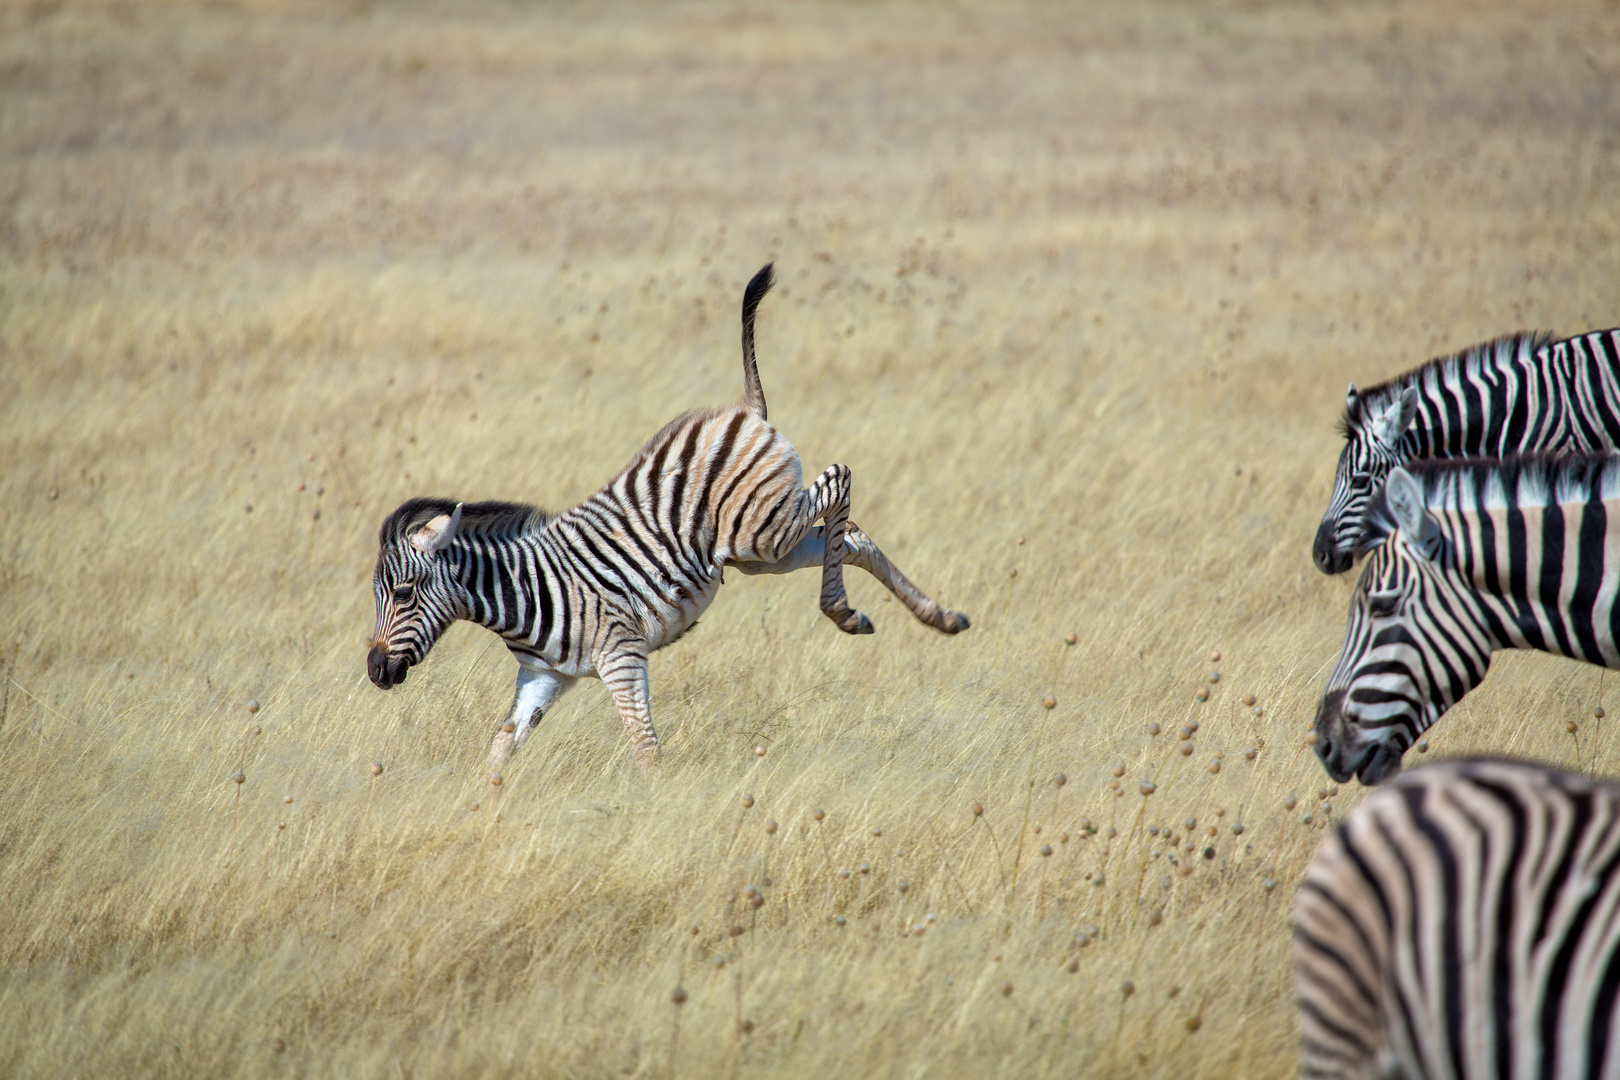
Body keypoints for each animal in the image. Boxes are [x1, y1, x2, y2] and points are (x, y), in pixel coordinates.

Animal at [367, 265, 965, 780]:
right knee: (853, 537)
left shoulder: (621, 656)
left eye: (403, 593)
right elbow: (501, 744)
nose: (374, 671)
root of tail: (744, 410)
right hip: (758, 552)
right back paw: (933, 617)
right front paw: (483, 807)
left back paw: (840, 610)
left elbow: (645, 749)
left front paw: (654, 808)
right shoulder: (543, 676)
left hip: (762, 530)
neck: (525, 593)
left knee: (840, 479)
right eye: (379, 596)